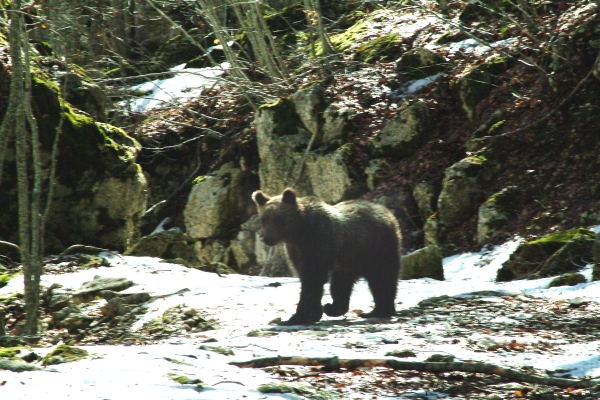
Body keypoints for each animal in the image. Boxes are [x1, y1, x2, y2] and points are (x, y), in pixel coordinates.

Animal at [251, 188, 400, 324]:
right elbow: (307, 277)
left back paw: (381, 310)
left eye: (278, 219)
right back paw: (336, 308)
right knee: (342, 282)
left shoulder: (319, 241)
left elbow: (312, 279)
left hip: (377, 247)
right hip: (349, 259)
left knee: (382, 277)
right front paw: (312, 314)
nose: (268, 238)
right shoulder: (296, 251)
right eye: (263, 219)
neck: (299, 233)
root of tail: (387, 212)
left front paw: (298, 317)